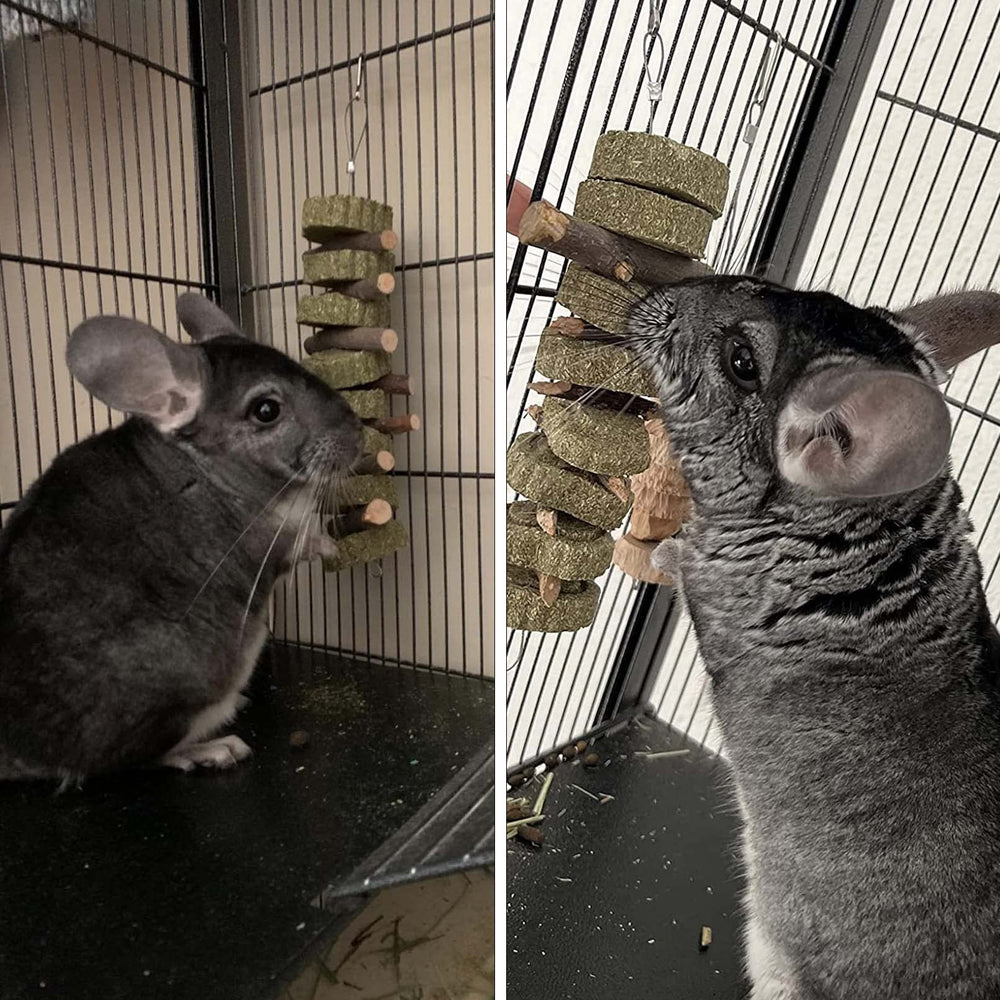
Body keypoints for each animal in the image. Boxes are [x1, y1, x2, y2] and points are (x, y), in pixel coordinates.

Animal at [0, 293, 362, 784]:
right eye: (266, 410)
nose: (359, 433)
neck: (209, 470)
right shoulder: (268, 539)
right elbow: (302, 542)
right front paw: (331, 544)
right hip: (180, 683)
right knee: (124, 760)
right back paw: (214, 748)